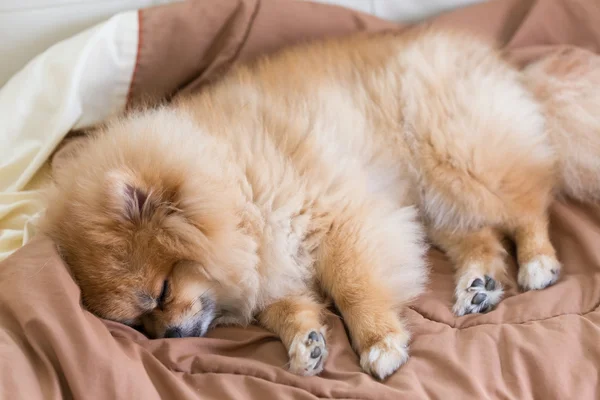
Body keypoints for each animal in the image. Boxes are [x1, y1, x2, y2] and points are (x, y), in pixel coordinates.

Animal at [41, 27, 600, 378]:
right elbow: (283, 309)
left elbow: (352, 287)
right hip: (435, 201)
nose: (172, 336)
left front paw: (377, 343)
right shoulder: (270, 265)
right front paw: (304, 342)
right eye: (140, 325)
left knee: (528, 205)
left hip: (456, 158)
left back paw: (537, 263)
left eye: (159, 293)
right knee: (481, 238)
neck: (234, 184)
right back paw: (477, 286)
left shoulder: (338, 219)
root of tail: (512, 71)